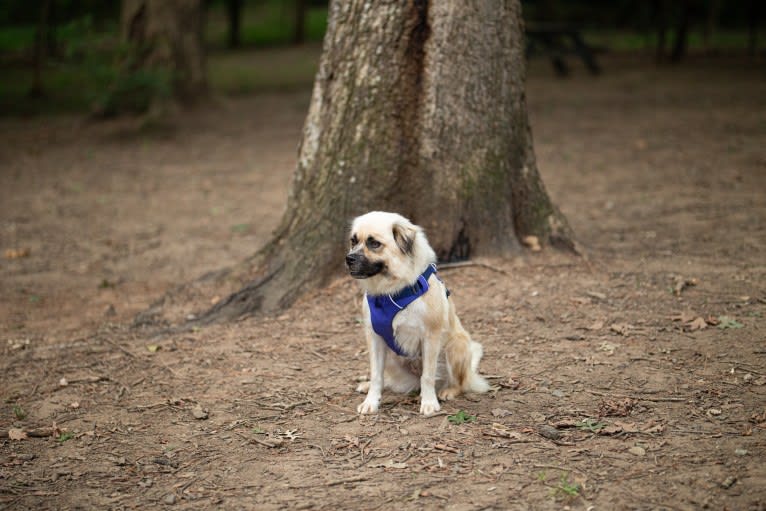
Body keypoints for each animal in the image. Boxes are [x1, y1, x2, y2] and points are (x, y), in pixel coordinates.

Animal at [344, 212, 488, 416]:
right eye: (353, 241)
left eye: (374, 244)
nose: (348, 258)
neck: (392, 292)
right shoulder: (375, 338)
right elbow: (377, 375)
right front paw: (371, 401)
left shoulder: (430, 337)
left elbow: (427, 376)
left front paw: (429, 403)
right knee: (388, 379)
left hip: (455, 347)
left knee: (460, 383)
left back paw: (448, 391)